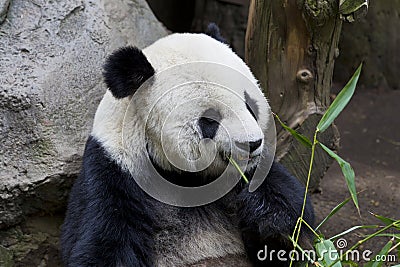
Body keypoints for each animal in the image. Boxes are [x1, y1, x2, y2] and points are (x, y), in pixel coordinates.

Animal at [61, 25, 314, 267]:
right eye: (210, 119)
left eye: (250, 105)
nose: (251, 144)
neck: (186, 178)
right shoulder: (115, 174)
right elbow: (104, 244)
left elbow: (292, 217)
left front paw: (268, 212)